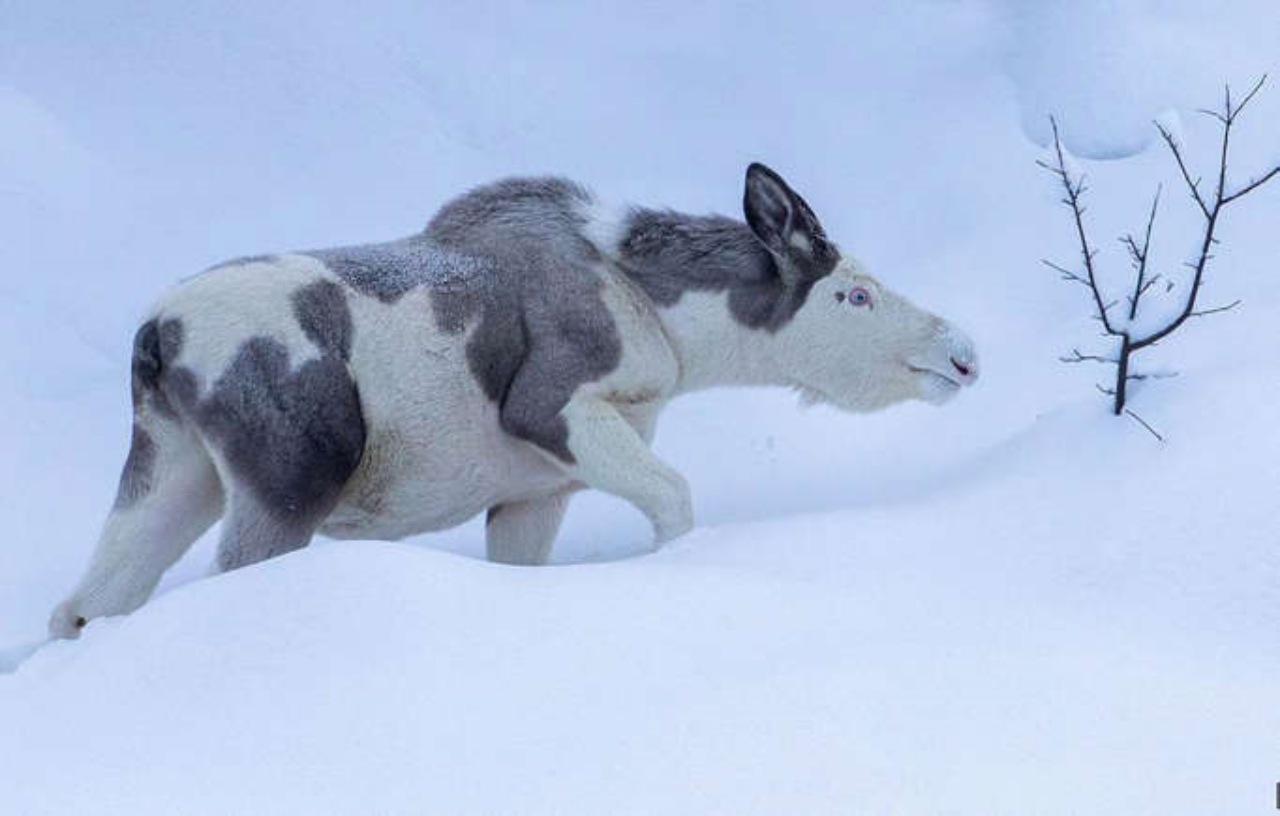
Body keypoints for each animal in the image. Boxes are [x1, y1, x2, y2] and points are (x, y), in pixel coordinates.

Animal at [45, 164, 972, 639]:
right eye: (854, 294)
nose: (961, 354)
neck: (681, 333)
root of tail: (155, 337)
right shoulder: (555, 410)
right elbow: (675, 501)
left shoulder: (533, 491)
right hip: (291, 478)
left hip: (173, 471)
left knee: (85, 605)